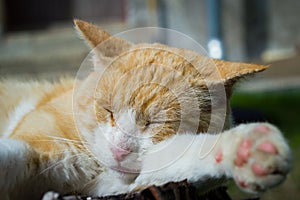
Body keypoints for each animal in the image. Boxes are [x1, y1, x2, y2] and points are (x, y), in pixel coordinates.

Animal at [0, 19, 292, 199]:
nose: (119, 150)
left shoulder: (115, 186)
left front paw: (247, 150)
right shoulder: (35, 149)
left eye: (155, 123)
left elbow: (180, 157)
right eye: (108, 110)